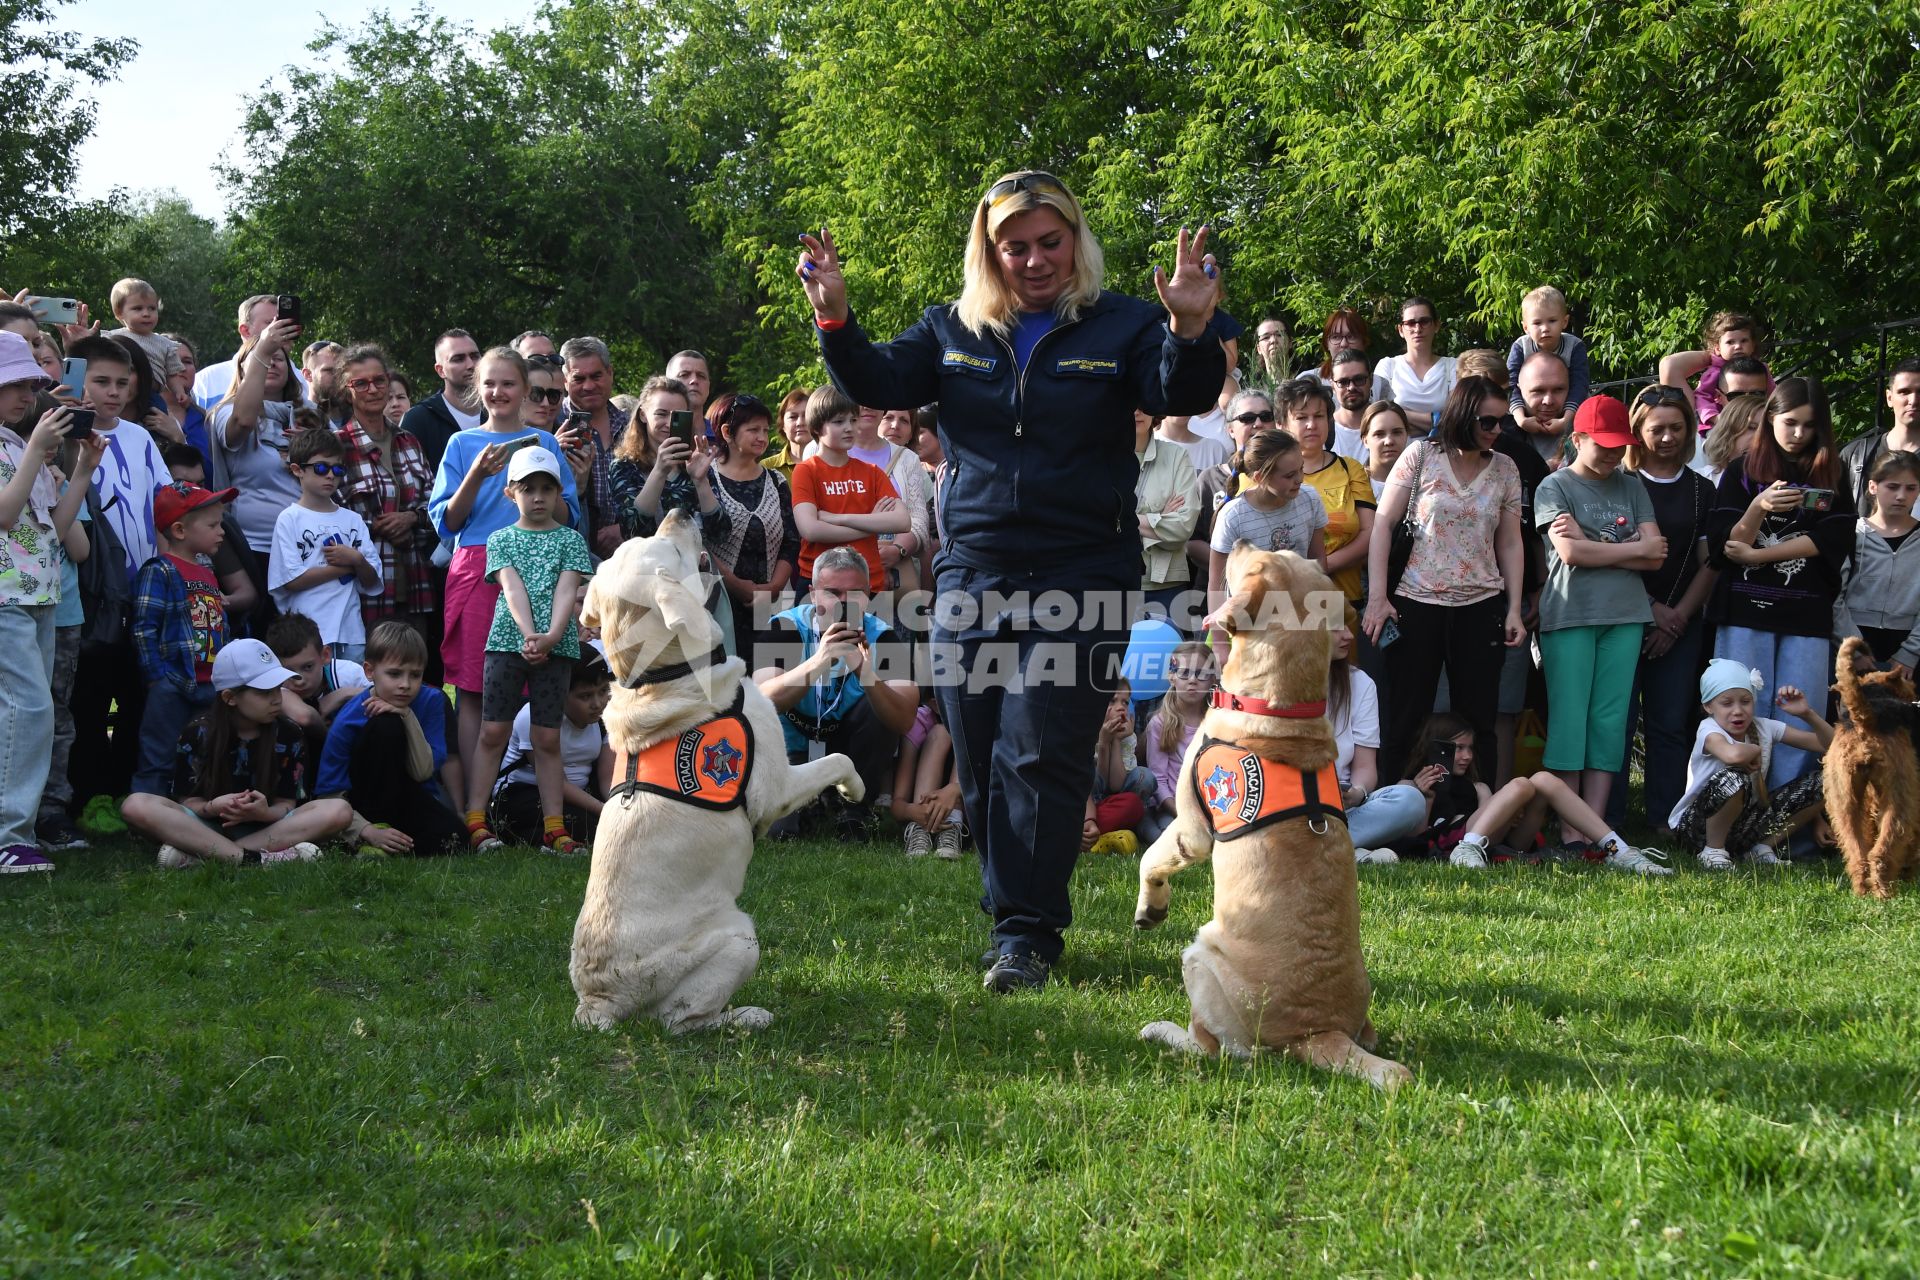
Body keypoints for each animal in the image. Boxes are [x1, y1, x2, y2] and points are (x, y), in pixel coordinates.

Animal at [1121, 541, 1413, 1090]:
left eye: (1256, 561)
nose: (1233, 542)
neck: (1281, 707)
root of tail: (1318, 1032)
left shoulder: (1191, 828)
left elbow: (1151, 858)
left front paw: (1151, 908)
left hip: (1200, 955)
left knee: (1215, 1049)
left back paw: (1162, 1031)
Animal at [1812, 637, 1920, 901]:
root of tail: (1864, 719)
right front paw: (1910, 874)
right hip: (1899, 797)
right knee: (1881, 852)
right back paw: (1885, 893)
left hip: (1843, 800)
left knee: (1858, 853)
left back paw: (1862, 890)